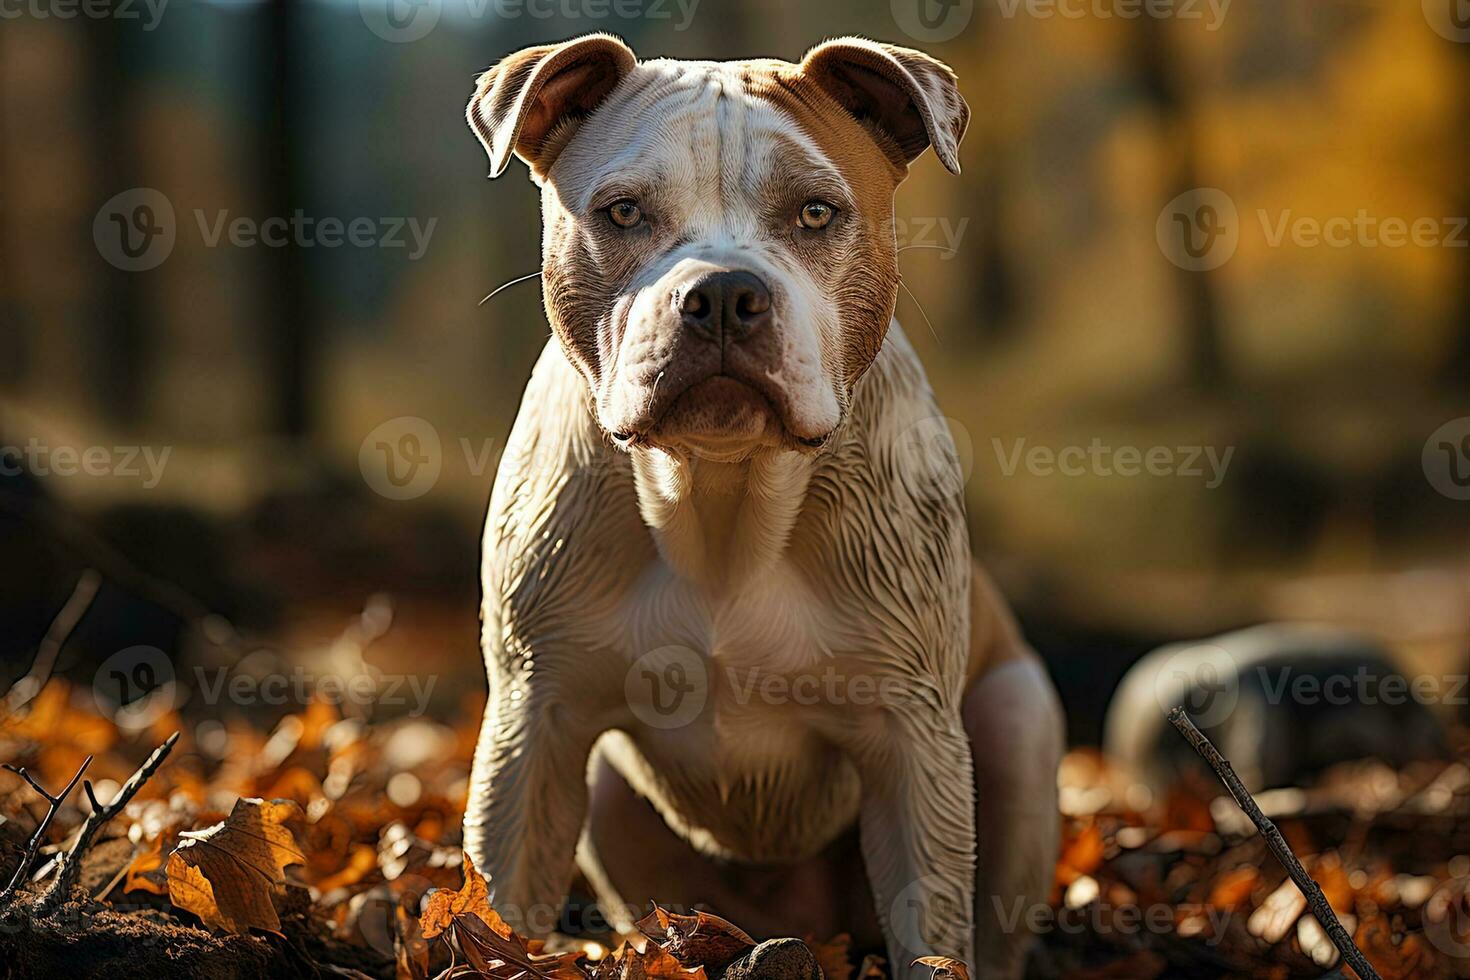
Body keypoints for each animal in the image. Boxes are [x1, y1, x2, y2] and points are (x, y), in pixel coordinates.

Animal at [464, 34, 1064, 975]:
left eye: (816, 212)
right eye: (623, 213)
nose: (719, 293)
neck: (720, 489)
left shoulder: (913, 745)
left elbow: (932, 931)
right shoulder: (534, 723)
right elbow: (499, 916)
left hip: (1018, 721)